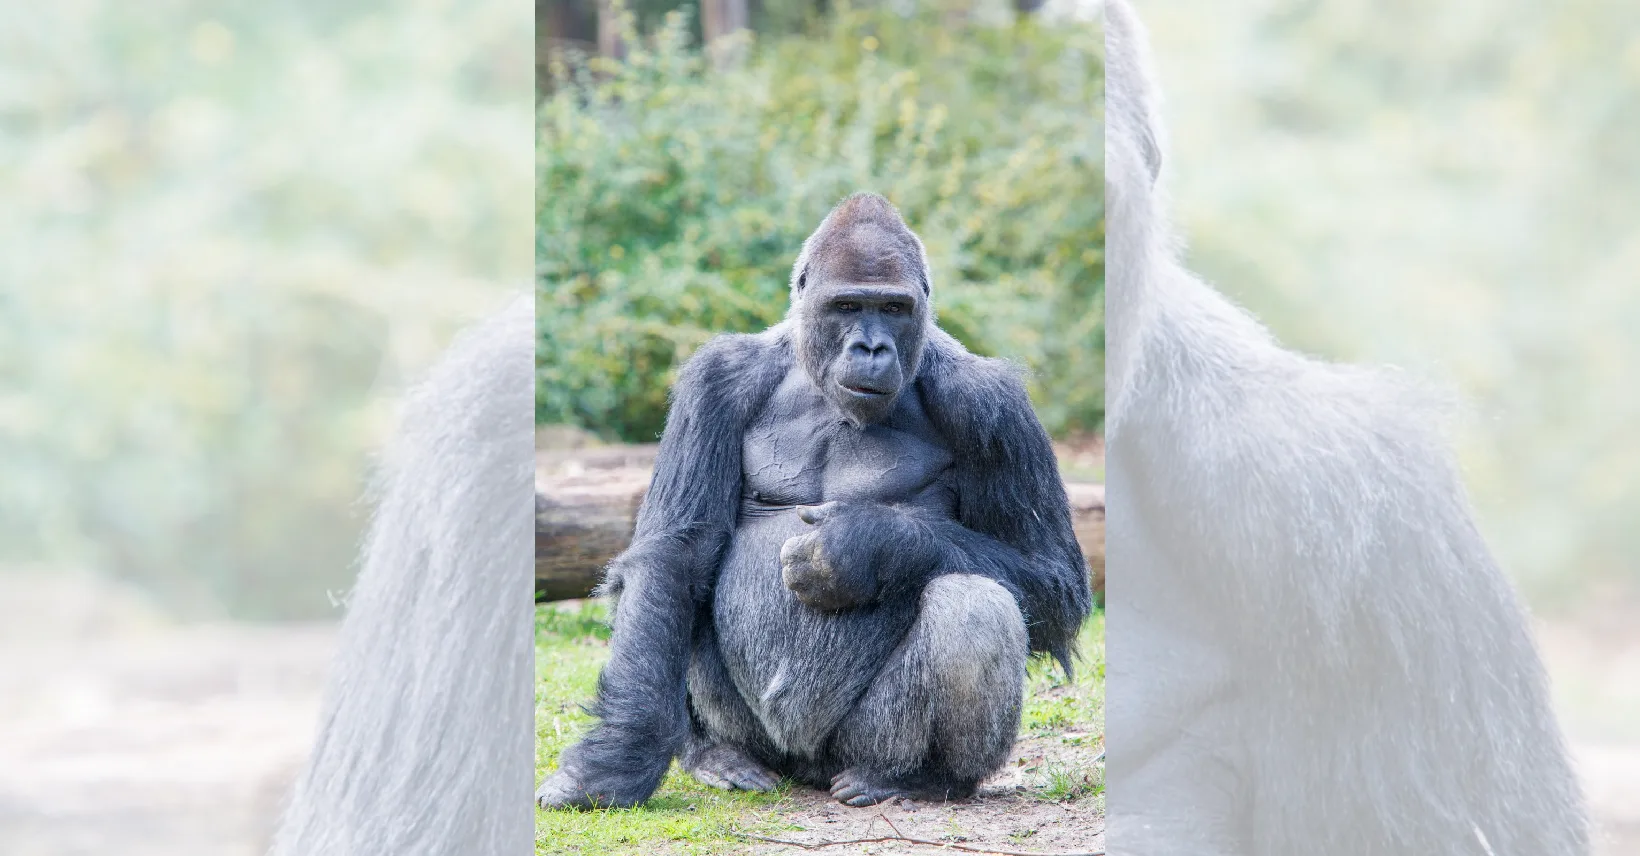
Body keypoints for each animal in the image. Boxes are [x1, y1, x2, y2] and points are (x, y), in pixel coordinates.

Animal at [535, 192, 1094, 810]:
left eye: (894, 309)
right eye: (847, 305)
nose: (871, 346)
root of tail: (804, 769)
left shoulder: (992, 404)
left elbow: (1054, 580)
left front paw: (864, 545)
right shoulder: (717, 379)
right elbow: (676, 554)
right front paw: (619, 758)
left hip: (859, 744)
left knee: (975, 603)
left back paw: (922, 778)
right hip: (760, 739)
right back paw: (715, 754)